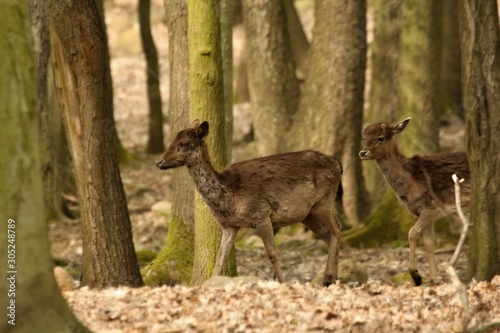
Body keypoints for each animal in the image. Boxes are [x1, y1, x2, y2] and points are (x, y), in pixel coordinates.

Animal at [156, 119, 344, 286]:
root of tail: (338, 165)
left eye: (184, 143)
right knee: (328, 235)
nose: (159, 161)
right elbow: (220, 258)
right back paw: (334, 279)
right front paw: (211, 283)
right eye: (173, 139)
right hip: (307, 214)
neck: (229, 196)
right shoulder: (229, 226)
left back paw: (328, 277)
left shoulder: (262, 214)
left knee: (337, 228)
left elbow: (272, 253)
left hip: (324, 201)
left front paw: (283, 282)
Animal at [360, 118, 468, 284]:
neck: (410, 182)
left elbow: (412, 232)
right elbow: (429, 243)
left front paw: (416, 275)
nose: (362, 152)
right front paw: (434, 278)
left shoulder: (431, 207)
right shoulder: (425, 213)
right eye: (363, 137)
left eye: (380, 138)